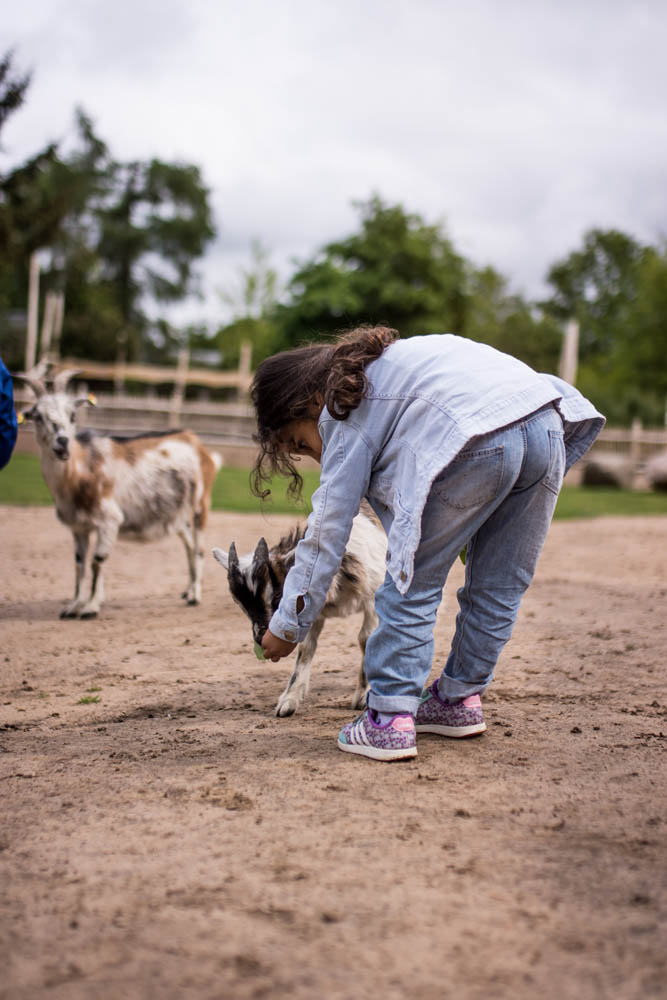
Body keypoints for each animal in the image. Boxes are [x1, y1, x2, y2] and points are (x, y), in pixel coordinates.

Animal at [16, 368, 222, 616]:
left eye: (73, 415)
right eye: (37, 416)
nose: (62, 442)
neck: (81, 471)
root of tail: (199, 445)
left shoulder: (109, 520)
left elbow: (97, 561)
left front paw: (90, 608)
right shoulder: (79, 527)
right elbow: (80, 564)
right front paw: (74, 606)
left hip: (201, 505)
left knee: (199, 549)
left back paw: (195, 596)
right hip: (179, 515)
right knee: (189, 547)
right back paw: (188, 590)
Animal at [214, 508, 386, 720]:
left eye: (278, 595)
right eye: (242, 606)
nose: (261, 638)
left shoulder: (373, 597)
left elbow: (366, 638)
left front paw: (363, 695)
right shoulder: (309, 612)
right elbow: (306, 647)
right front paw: (289, 700)